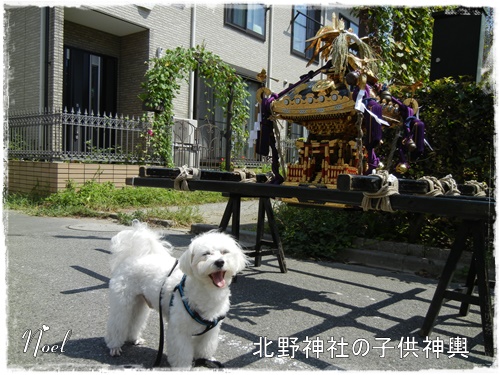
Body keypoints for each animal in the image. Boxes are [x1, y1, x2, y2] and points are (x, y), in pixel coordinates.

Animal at [105, 223, 248, 370]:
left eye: (225, 252)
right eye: (206, 254)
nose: (219, 262)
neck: (206, 292)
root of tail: (132, 258)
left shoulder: (210, 331)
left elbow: (205, 347)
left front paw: (204, 359)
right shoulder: (179, 330)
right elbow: (181, 352)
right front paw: (183, 367)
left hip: (139, 302)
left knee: (135, 320)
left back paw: (134, 338)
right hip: (123, 302)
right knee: (118, 322)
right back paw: (114, 346)